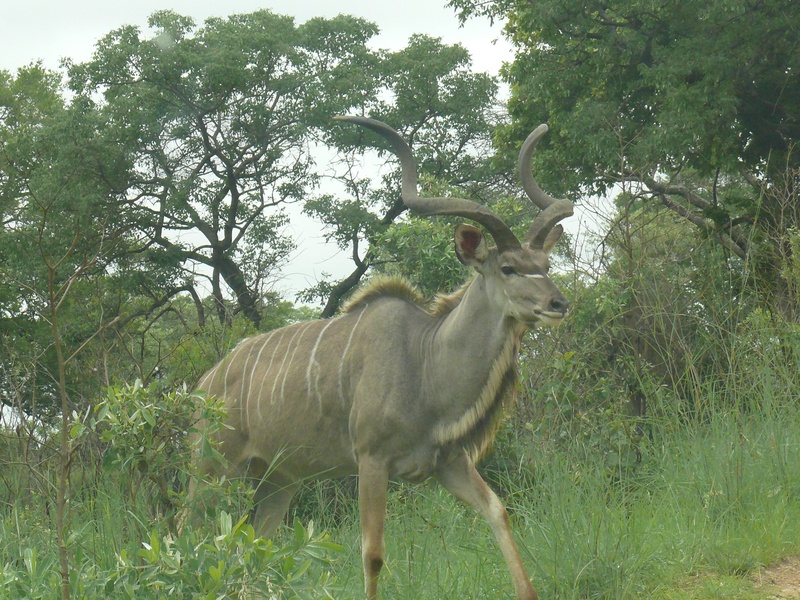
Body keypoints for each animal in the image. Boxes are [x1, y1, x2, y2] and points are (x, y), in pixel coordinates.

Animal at [188, 116, 573, 600]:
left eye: (545, 265)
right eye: (508, 268)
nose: (559, 303)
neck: (425, 361)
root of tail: (203, 385)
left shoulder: (450, 462)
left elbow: (498, 512)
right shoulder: (371, 462)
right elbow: (372, 553)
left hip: (278, 479)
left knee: (255, 546)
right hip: (211, 472)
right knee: (187, 531)